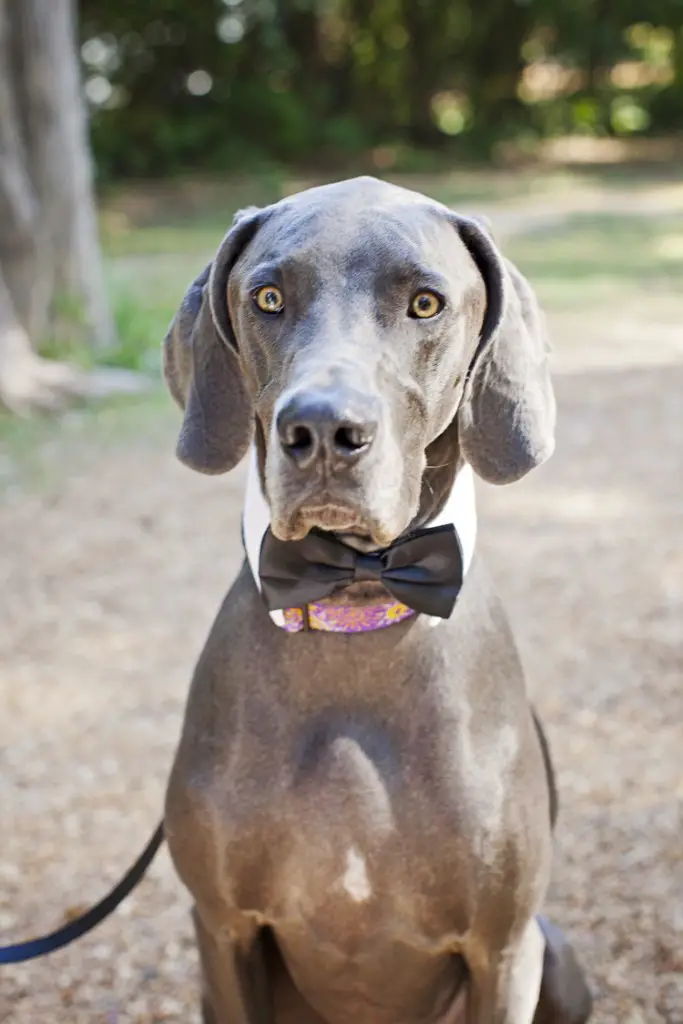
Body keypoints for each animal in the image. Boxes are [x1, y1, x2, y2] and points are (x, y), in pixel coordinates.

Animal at [161, 178, 593, 1024]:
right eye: (267, 297)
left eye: (425, 303)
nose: (322, 429)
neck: (355, 593)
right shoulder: (223, 932)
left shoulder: (503, 949)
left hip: (554, 953)